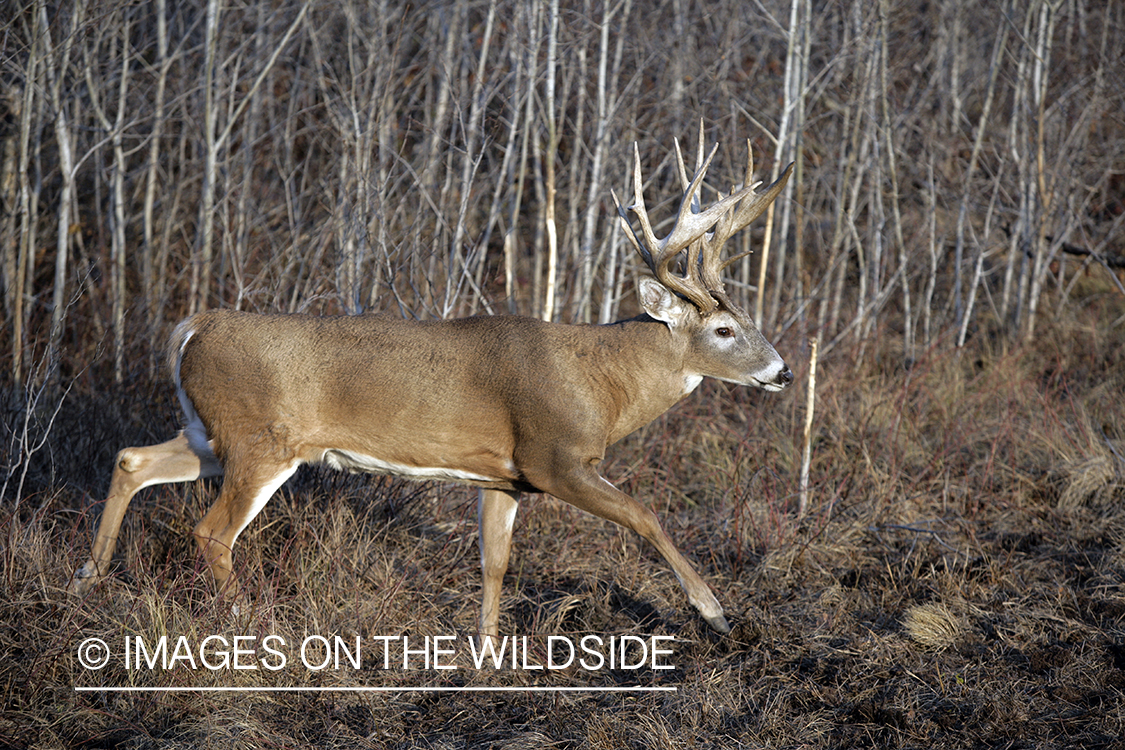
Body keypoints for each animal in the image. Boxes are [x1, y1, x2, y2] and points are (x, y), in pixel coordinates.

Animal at [70, 124, 796, 638]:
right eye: (724, 330)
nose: (783, 371)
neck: (601, 381)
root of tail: (195, 325)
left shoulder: (505, 477)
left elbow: (494, 562)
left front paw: (487, 653)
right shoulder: (554, 456)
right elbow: (645, 515)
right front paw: (714, 612)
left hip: (210, 432)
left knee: (132, 458)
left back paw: (87, 577)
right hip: (259, 440)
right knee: (212, 532)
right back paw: (247, 620)